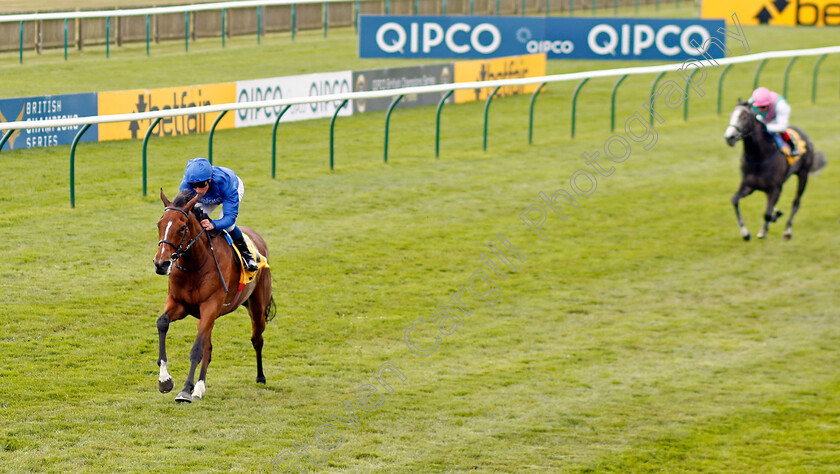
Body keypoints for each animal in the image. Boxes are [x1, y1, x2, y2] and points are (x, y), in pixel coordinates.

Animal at [149, 189, 270, 404]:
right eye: (159, 224)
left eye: (182, 228)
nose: (161, 264)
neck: (195, 264)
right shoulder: (178, 303)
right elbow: (162, 323)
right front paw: (165, 380)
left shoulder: (210, 305)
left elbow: (197, 349)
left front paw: (185, 390)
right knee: (209, 348)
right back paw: (199, 388)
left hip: (257, 307)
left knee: (257, 339)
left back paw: (260, 377)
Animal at [720, 100, 828, 241]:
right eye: (731, 115)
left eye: (744, 117)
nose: (729, 137)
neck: (759, 158)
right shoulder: (748, 186)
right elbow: (735, 200)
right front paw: (745, 233)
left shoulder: (776, 188)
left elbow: (767, 214)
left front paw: (772, 220)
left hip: (803, 174)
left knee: (796, 202)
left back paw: (787, 231)